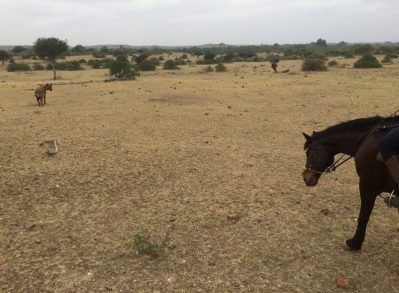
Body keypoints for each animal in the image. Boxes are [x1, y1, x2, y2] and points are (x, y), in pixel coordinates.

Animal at [304, 115, 398, 250]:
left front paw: (355, 243)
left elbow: (363, 217)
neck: (367, 138)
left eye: (310, 152)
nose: (306, 178)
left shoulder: (367, 186)